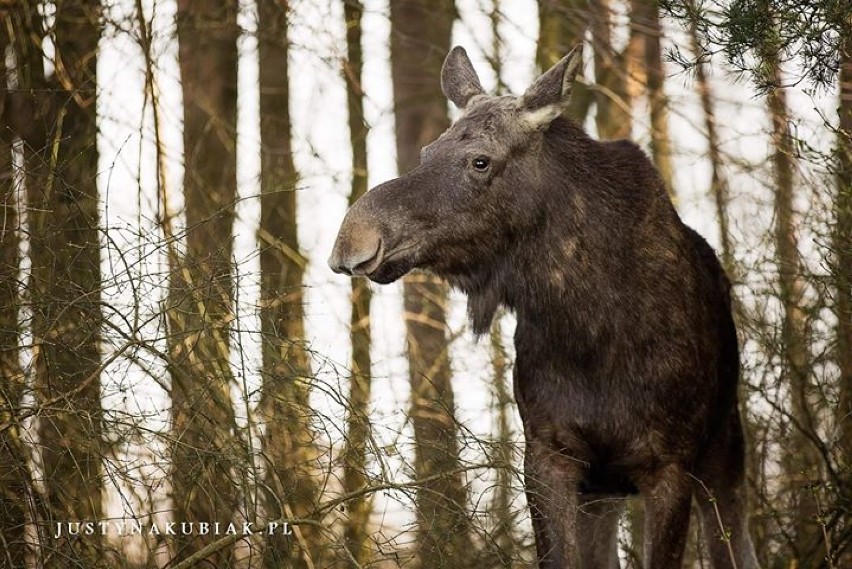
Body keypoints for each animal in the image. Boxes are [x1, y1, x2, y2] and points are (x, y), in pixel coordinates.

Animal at [328, 45, 760, 568]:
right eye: (428, 152)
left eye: (480, 161)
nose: (354, 237)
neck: (591, 326)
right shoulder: (549, 457)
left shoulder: (669, 465)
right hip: (603, 491)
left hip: (724, 449)